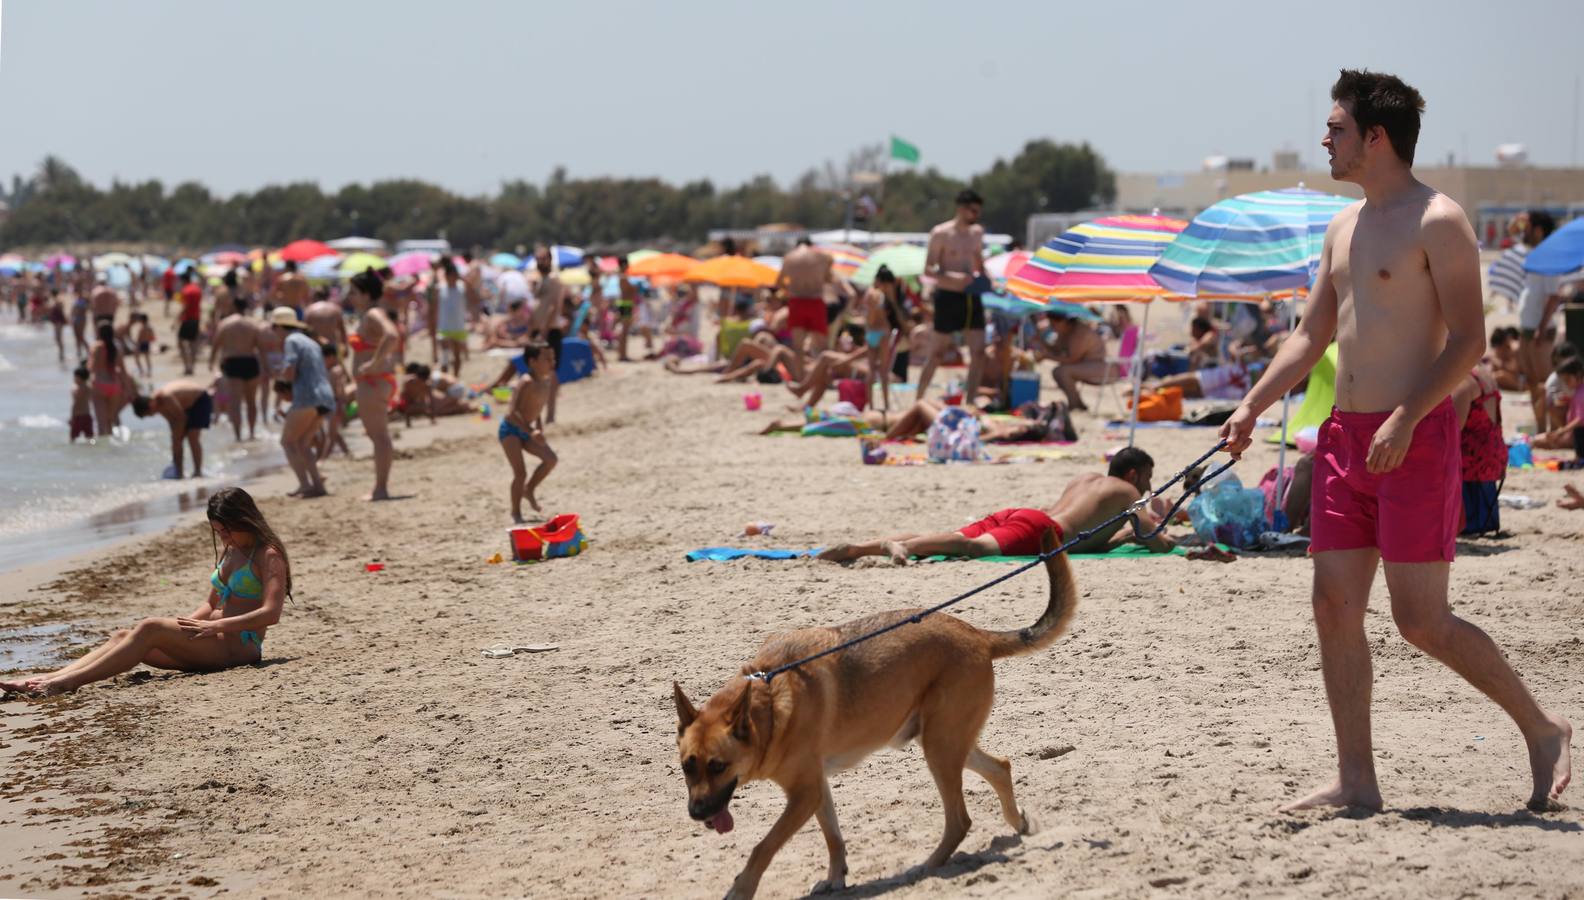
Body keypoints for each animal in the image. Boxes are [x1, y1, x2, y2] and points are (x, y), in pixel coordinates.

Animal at [668, 526, 1077, 900]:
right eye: (688, 766)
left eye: (718, 766)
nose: (696, 813)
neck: (767, 704)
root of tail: (977, 634)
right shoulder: (816, 787)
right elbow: (833, 837)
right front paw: (836, 878)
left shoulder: (803, 794)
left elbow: (763, 846)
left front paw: (741, 889)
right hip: (944, 740)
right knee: (1000, 768)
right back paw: (1018, 822)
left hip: (940, 749)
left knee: (960, 819)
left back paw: (927, 867)